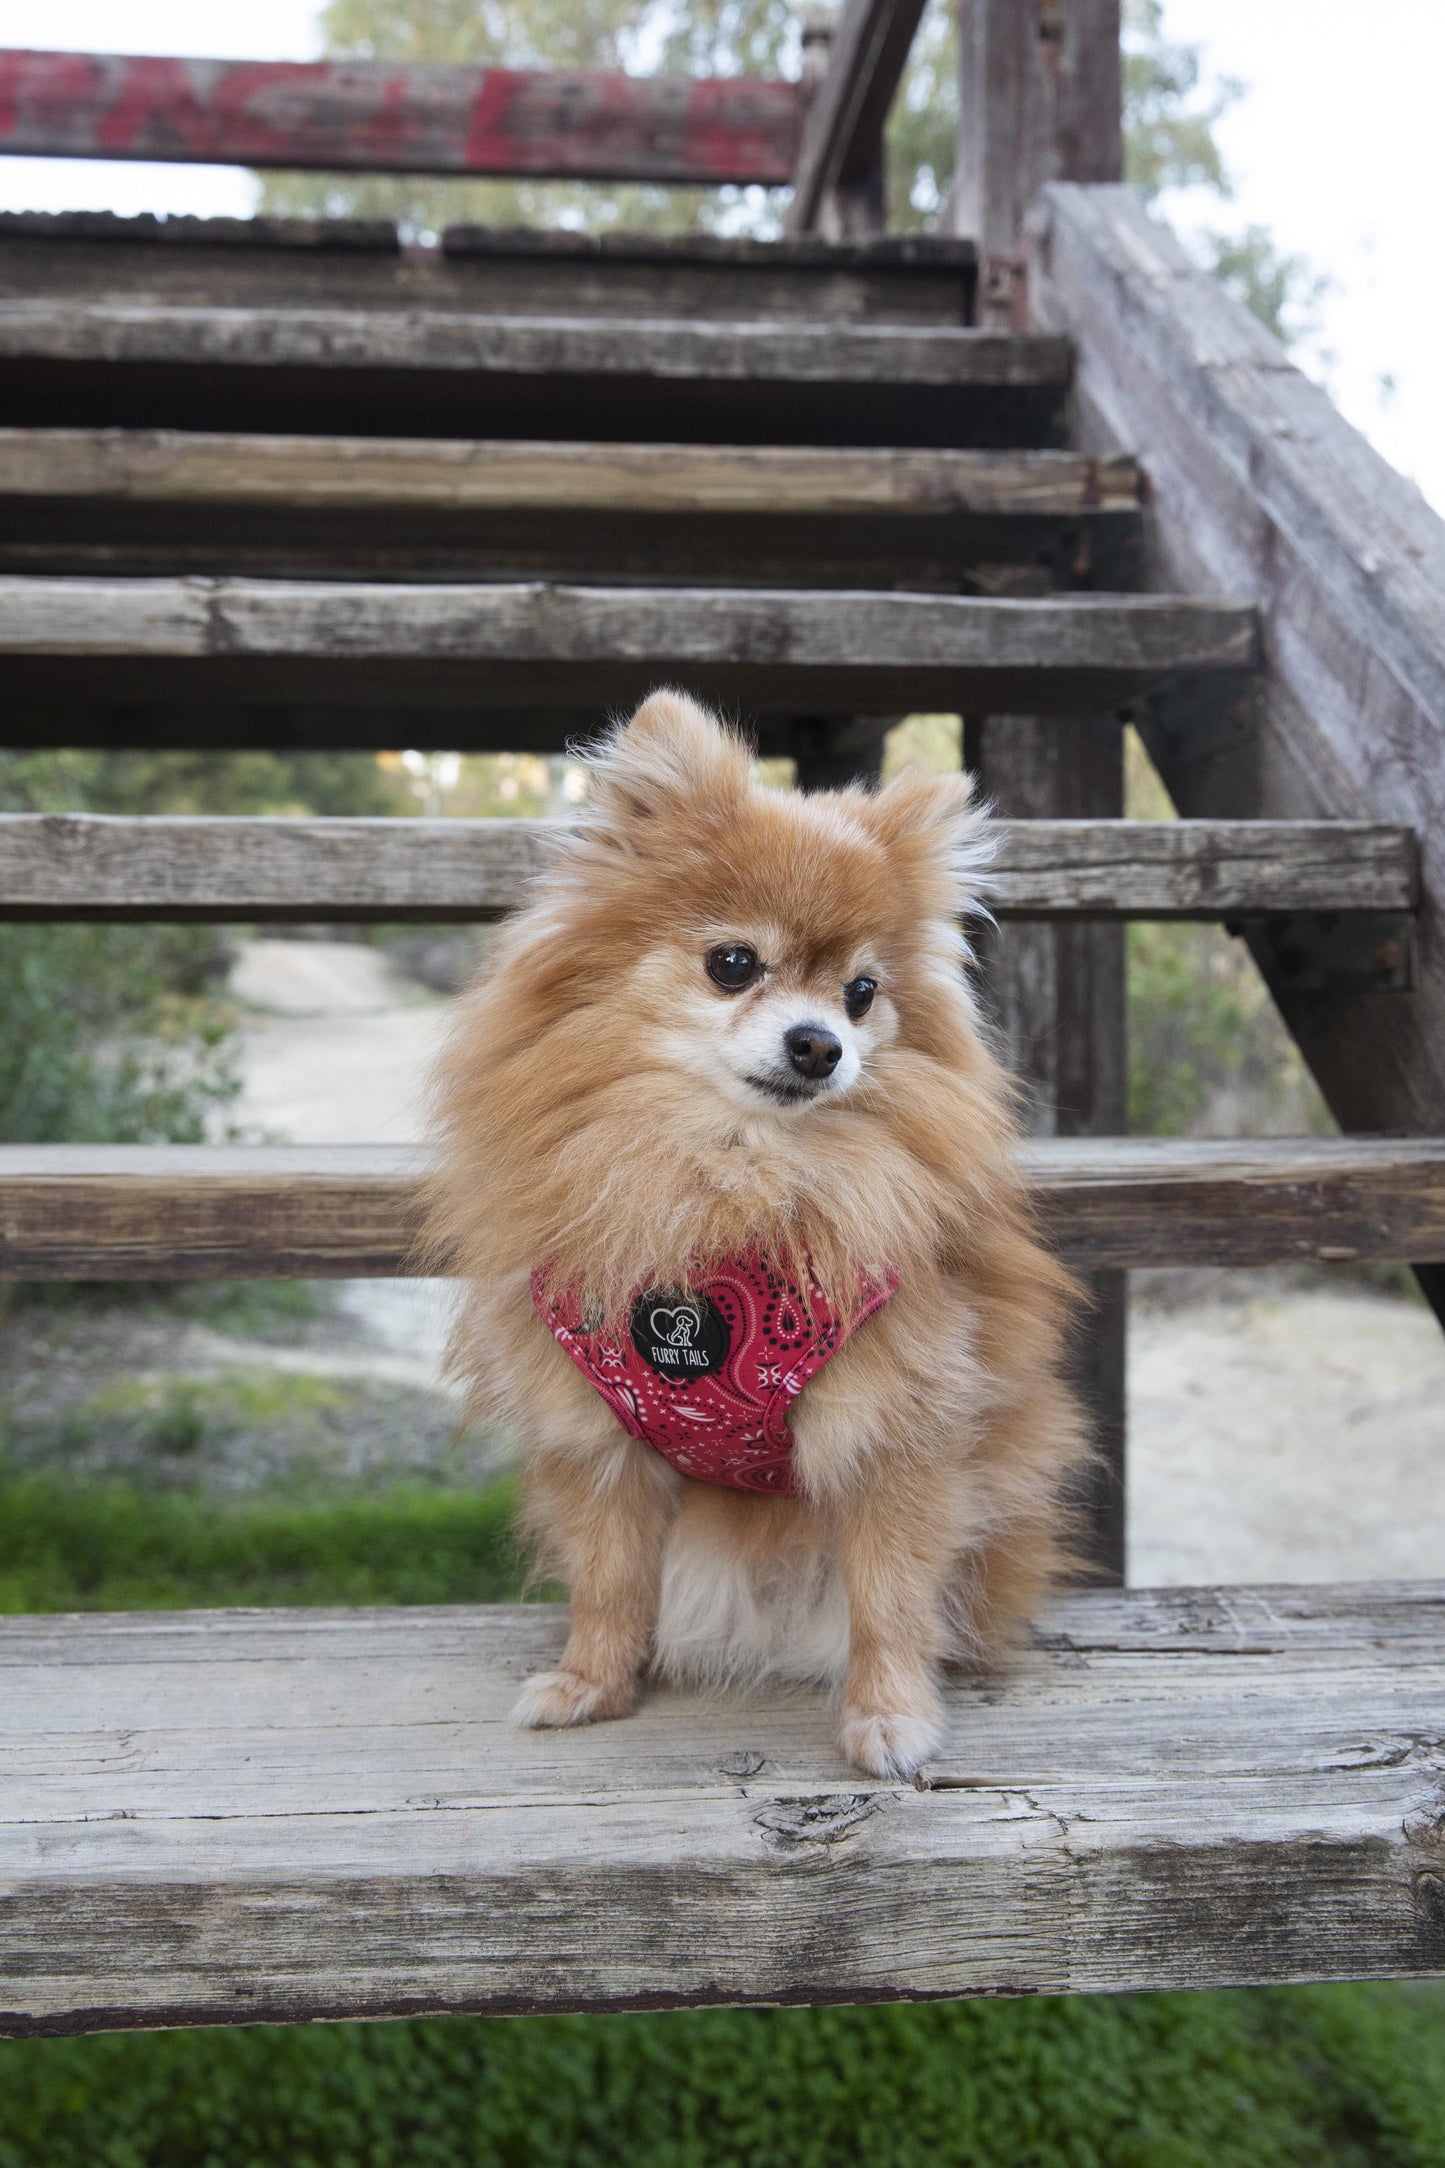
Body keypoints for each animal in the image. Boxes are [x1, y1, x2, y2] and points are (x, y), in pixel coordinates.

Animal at [428, 693, 1083, 1777]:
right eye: (732, 964)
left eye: (862, 992)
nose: (820, 1044)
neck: (731, 1179)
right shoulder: (597, 1439)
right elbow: (606, 1580)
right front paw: (590, 1683)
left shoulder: (893, 1428)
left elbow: (888, 1597)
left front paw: (889, 1718)